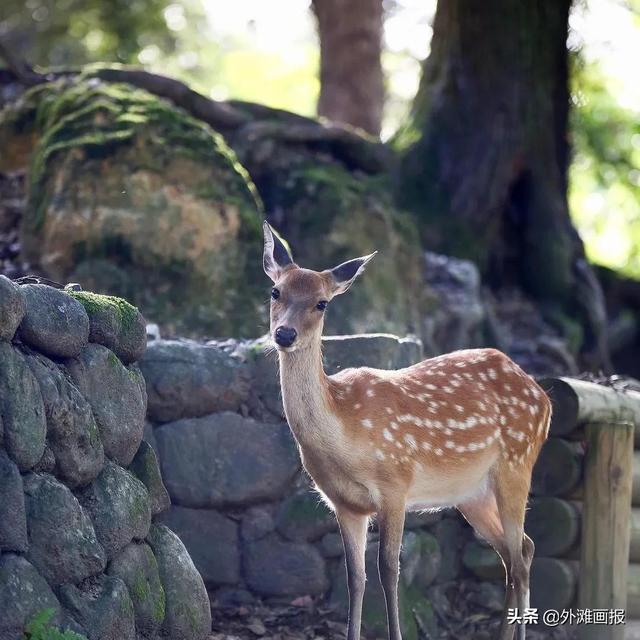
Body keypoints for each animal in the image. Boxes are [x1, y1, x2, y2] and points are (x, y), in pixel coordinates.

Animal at [262, 221, 552, 640]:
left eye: (322, 303)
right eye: (275, 291)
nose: (284, 334)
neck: (345, 436)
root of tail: (543, 397)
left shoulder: (395, 485)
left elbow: (389, 571)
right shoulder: (344, 503)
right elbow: (354, 578)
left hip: (517, 464)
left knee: (518, 557)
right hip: (471, 493)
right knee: (519, 551)